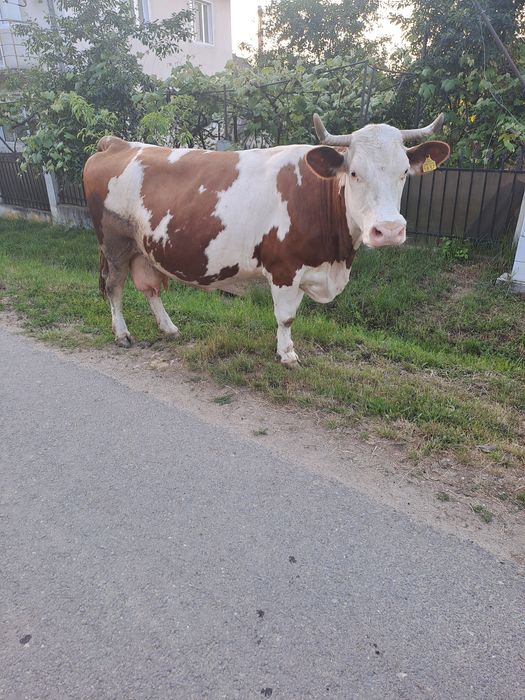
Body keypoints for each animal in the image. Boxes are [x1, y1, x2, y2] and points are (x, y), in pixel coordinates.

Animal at [83, 114, 450, 366]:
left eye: (404, 173)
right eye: (355, 172)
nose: (389, 230)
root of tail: (118, 144)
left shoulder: (307, 269)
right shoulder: (285, 268)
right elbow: (286, 317)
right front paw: (287, 355)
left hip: (142, 247)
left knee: (150, 288)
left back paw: (169, 328)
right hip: (114, 243)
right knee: (114, 287)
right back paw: (122, 334)